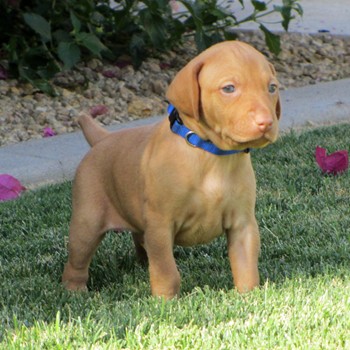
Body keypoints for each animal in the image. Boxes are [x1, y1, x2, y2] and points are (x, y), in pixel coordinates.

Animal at [62, 40, 282, 298]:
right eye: (229, 88)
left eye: (272, 87)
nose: (266, 123)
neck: (210, 155)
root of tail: (102, 139)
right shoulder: (160, 224)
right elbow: (166, 269)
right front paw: (165, 300)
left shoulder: (243, 223)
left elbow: (245, 263)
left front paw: (249, 295)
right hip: (87, 220)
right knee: (78, 259)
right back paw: (75, 289)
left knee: (140, 240)